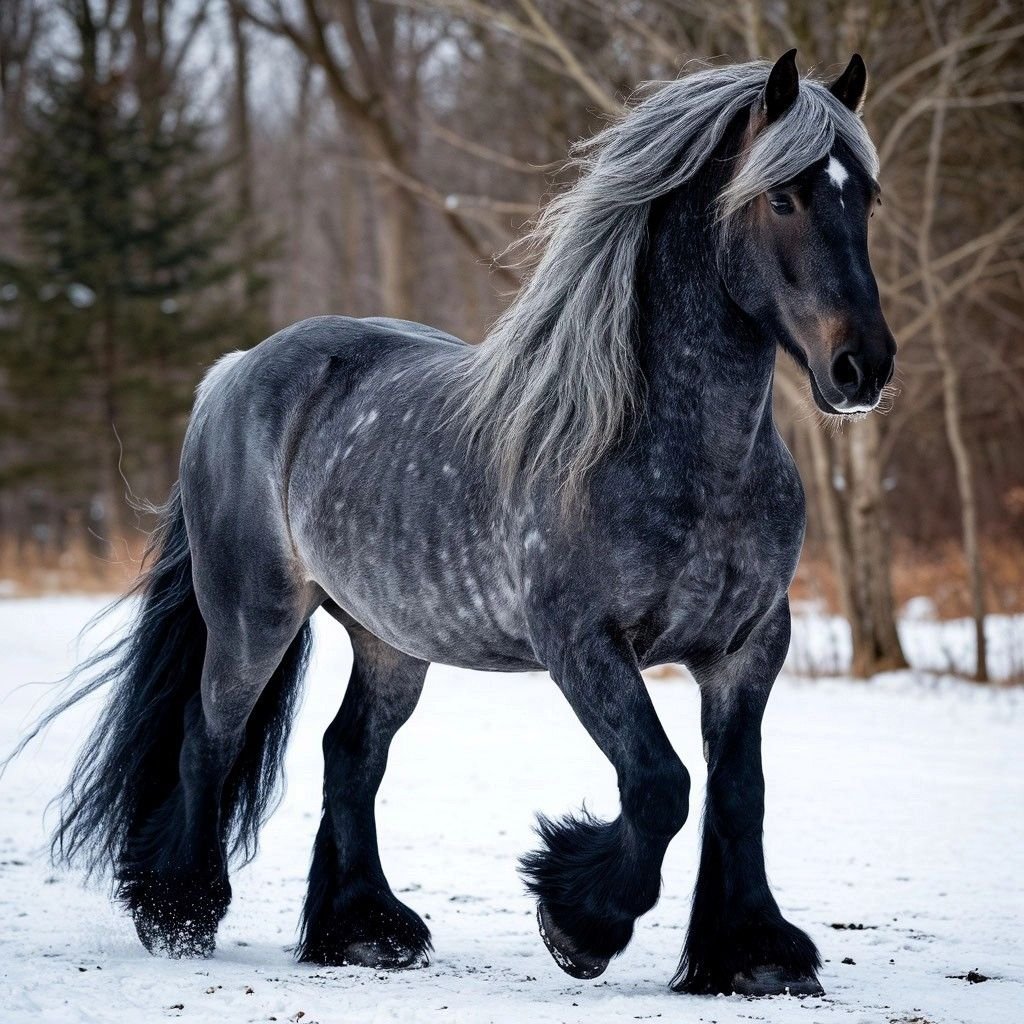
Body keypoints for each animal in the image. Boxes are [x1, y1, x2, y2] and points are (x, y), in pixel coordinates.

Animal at [15, 50, 895, 997]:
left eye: (866, 198)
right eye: (784, 197)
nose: (864, 366)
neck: (681, 455)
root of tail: (233, 373)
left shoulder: (748, 647)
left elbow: (739, 793)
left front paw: (752, 953)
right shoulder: (581, 641)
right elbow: (660, 783)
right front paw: (579, 922)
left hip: (390, 640)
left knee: (349, 753)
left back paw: (363, 930)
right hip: (254, 620)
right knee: (208, 741)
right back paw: (180, 913)